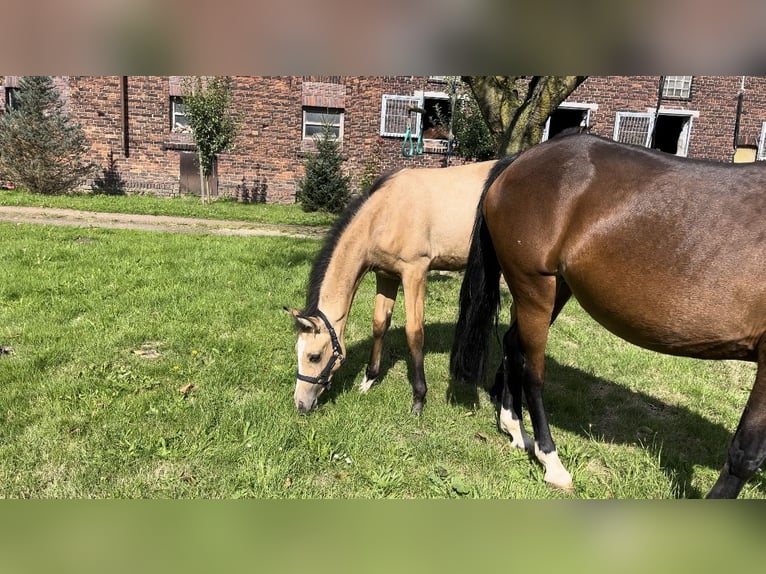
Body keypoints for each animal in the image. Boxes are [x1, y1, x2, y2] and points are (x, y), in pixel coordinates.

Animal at [288, 160, 498, 416]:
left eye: (314, 356)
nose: (300, 404)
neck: (384, 213)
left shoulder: (414, 273)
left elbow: (414, 332)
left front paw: (419, 398)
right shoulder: (386, 276)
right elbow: (380, 324)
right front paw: (369, 380)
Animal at [452, 133, 766, 498]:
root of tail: (520, 160)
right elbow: (746, 453)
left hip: (554, 289)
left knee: (513, 346)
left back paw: (514, 428)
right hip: (534, 286)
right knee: (533, 371)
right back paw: (551, 462)